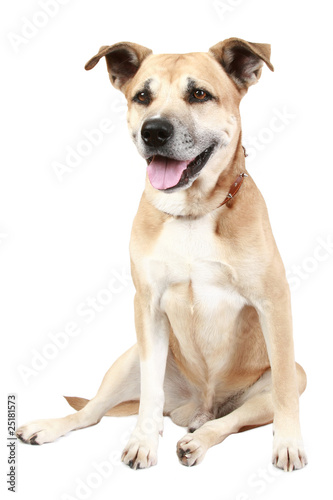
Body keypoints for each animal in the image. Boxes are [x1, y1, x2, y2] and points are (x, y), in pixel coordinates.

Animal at [15, 39, 306, 472]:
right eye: (142, 96)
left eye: (199, 94)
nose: (153, 131)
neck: (192, 211)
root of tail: (199, 406)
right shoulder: (147, 307)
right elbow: (148, 395)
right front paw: (142, 442)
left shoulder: (273, 303)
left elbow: (284, 390)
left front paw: (287, 443)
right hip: (128, 359)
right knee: (92, 411)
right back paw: (50, 427)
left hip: (280, 382)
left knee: (231, 420)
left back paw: (198, 441)